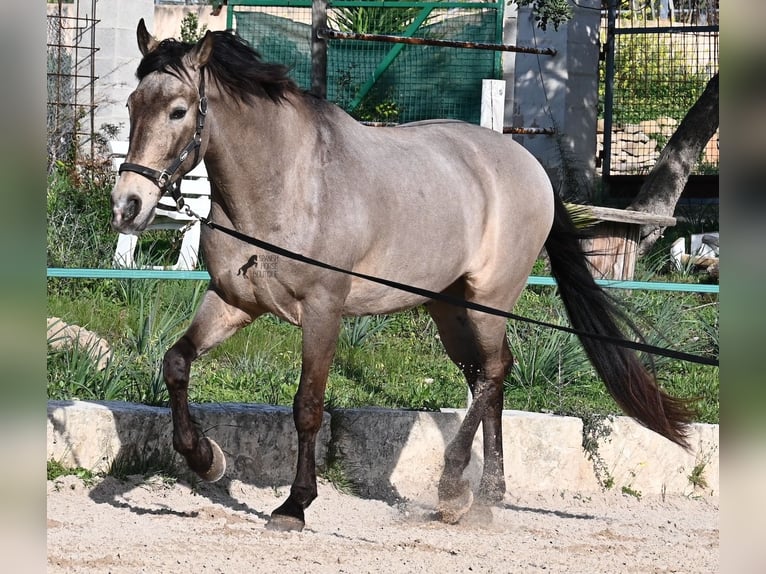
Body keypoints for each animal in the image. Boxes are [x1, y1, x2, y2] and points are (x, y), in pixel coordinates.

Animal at [111, 19, 694, 531]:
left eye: (178, 110)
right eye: (133, 105)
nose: (127, 206)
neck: (288, 186)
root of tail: (528, 164)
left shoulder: (323, 313)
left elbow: (307, 407)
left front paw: (294, 505)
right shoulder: (233, 301)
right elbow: (177, 364)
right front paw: (206, 458)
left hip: (489, 301)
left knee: (494, 372)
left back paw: (454, 487)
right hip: (450, 308)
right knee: (485, 377)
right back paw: (486, 495)